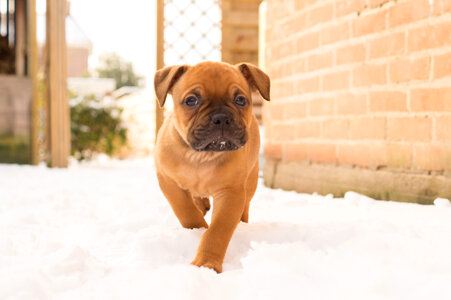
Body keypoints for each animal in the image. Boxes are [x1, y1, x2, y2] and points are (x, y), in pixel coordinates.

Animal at [154, 61, 270, 272]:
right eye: (191, 100)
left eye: (240, 100)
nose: (221, 117)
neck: (201, 156)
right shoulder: (168, 182)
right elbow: (185, 210)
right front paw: (198, 229)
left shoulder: (230, 194)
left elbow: (217, 231)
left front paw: (206, 264)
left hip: (250, 182)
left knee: (245, 206)